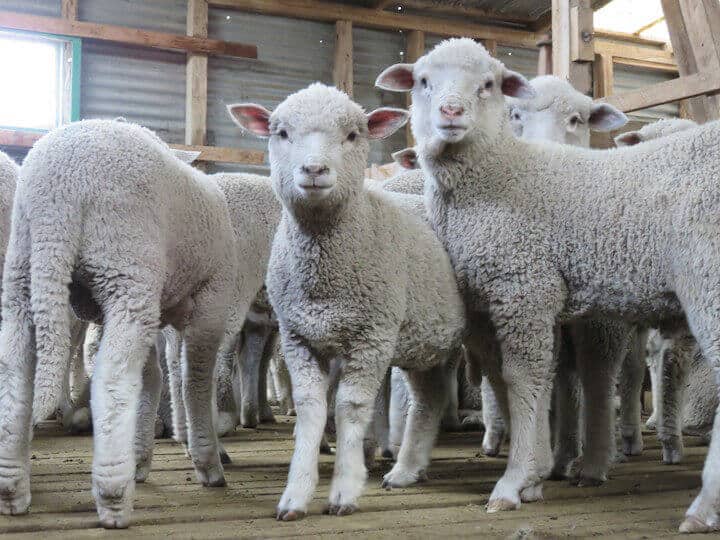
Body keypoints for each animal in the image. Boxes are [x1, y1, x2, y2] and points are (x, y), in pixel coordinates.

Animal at [0, 120, 239, 528]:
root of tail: (57, 187)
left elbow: (154, 376)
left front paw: (143, 455)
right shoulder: (207, 298)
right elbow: (193, 381)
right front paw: (207, 464)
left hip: (23, 271)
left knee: (15, 375)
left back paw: (13, 491)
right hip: (124, 269)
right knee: (112, 382)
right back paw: (113, 497)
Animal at [233, 83, 464, 520]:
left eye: (354, 135)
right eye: (281, 133)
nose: (314, 170)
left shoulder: (372, 335)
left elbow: (350, 408)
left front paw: (344, 490)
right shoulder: (299, 336)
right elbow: (311, 408)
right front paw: (295, 495)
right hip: (426, 337)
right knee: (430, 397)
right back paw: (407, 470)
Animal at [376, 38, 720, 532]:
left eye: (489, 84)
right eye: (422, 80)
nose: (451, 111)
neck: (498, 176)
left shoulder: (525, 285)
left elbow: (525, 377)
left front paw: (516, 479)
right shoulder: (505, 300)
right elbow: (524, 378)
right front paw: (536, 472)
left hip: (705, 277)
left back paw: (700, 506)